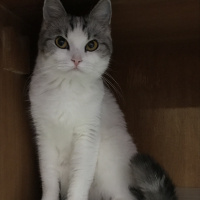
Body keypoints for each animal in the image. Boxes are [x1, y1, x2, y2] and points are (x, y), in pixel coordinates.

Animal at [29, 0, 177, 200]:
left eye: (92, 45)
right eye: (61, 42)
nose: (76, 60)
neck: (67, 88)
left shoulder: (87, 136)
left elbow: (79, 180)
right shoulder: (44, 137)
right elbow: (49, 179)